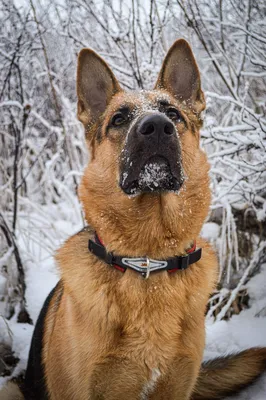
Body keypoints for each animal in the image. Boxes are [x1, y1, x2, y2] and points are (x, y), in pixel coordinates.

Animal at [2, 39, 266, 398]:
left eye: (173, 114)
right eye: (118, 118)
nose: (156, 127)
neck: (147, 258)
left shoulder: (175, 386)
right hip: (10, 388)